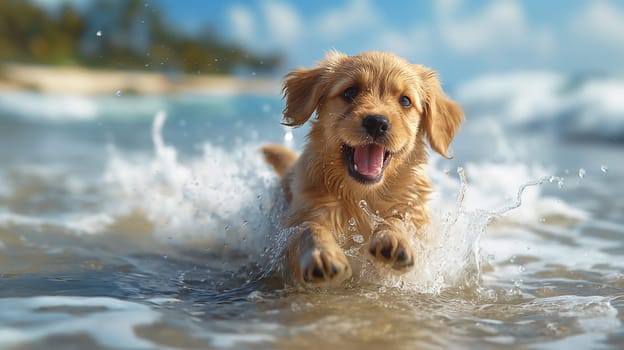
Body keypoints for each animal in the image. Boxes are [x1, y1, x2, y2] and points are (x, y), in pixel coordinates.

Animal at [260, 52, 460, 288]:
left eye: (405, 100)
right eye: (350, 91)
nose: (376, 122)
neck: (364, 195)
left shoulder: (418, 220)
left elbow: (398, 218)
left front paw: (392, 238)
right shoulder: (294, 222)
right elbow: (309, 228)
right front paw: (322, 254)